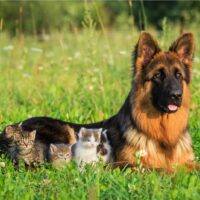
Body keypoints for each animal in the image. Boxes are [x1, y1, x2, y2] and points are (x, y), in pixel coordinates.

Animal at [0, 32, 197, 171]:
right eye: (158, 76)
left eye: (178, 76)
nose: (176, 95)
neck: (163, 135)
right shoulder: (129, 166)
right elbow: (165, 170)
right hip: (65, 132)